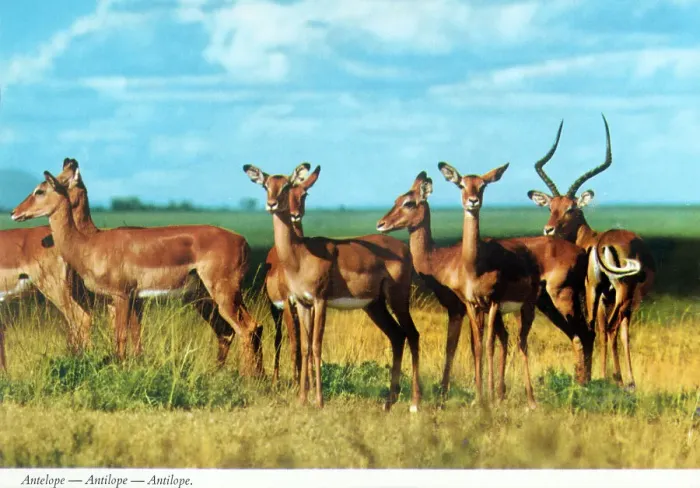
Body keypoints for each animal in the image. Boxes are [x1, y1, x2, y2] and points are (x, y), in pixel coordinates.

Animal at [11, 166, 264, 377]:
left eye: (40, 190)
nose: (15, 212)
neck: (88, 244)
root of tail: (243, 242)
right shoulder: (116, 300)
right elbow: (126, 338)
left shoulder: (123, 295)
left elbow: (122, 337)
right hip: (208, 297)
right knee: (241, 329)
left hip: (223, 293)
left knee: (246, 328)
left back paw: (248, 379)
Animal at [243, 163, 421, 411]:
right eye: (266, 185)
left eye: (287, 185)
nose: (272, 204)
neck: (299, 255)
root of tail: (404, 249)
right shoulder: (302, 303)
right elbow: (305, 347)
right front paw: (302, 399)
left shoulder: (320, 301)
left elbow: (317, 345)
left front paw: (319, 400)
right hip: (374, 305)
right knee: (397, 336)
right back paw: (388, 402)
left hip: (397, 298)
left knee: (413, 334)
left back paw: (415, 404)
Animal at [378, 169, 594, 408]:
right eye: (397, 199)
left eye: (409, 202)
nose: (382, 223)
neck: (441, 259)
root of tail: (580, 251)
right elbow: (483, 342)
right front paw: (490, 393)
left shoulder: (459, 309)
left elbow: (454, 345)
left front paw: (446, 395)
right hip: (547, 305)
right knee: (577, 335)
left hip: (562, 299)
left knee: (584, 334)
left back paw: (582, 387)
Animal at [527, 115, 655, 389]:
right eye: (551, 207)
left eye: (571, 208)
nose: (549, 229)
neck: (590, 239)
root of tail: (604, 244)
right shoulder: (611, 295)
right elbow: (617, 331)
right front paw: (623, 378)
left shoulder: (598, 293)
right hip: (617, 292)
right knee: (611, 328)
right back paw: (619, 379)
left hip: (604, 291)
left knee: (602, 329)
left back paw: (609, 377)